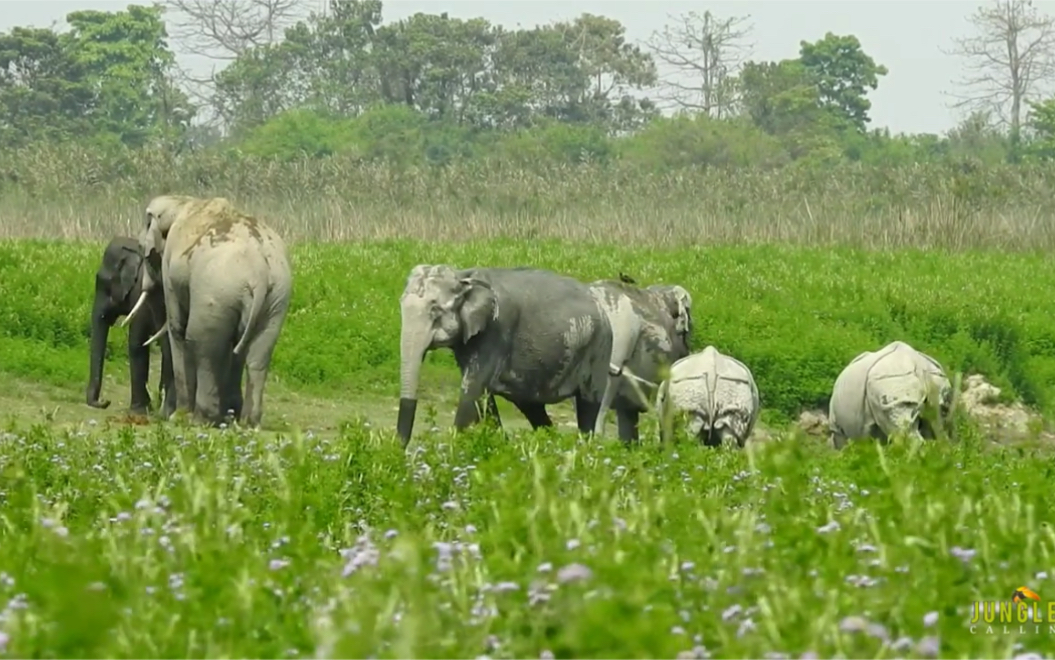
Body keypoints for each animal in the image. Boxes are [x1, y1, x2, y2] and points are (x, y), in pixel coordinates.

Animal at [120, 192, 293, 425]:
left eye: (143, 252)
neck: (180, 201)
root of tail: (259, 273)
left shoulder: (170, 269)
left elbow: (176, 329)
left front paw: (176, 417)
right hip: (275, 300)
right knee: (258, 353)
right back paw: (244, 421)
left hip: (215, 293)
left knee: (201, 344)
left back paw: (201, 418)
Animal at [396, 260, 616, 442]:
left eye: (435, 311)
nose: (400, 450)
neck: (463, 276)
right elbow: (483, 397)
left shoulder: (497, 330)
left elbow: (472, 391)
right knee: (534, 410)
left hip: (599, 348)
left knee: (588, 407)